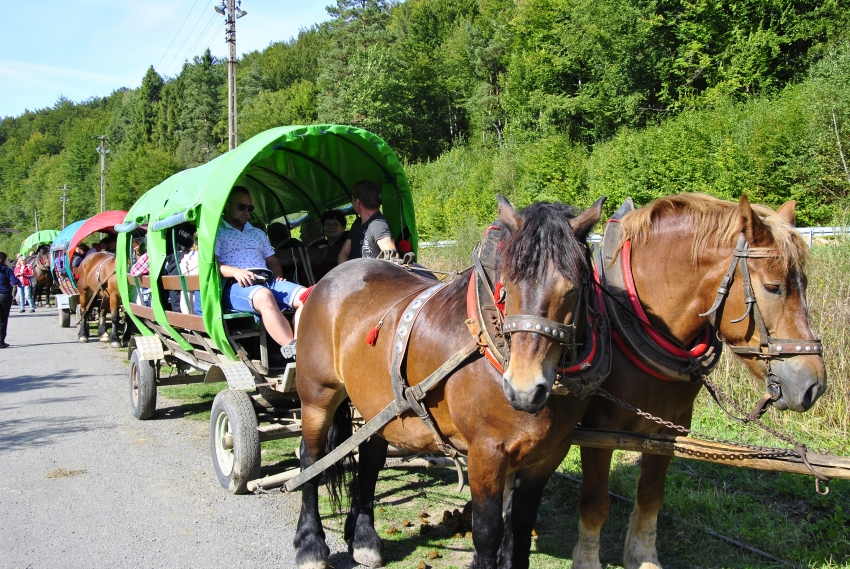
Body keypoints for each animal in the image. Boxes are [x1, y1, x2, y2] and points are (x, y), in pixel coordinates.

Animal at [294, 196, 608, 568]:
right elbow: (487, 533)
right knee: (311, 460)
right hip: (317, 396)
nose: (524, 390)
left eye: (573, 288)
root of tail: (331, 277)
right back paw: (310, 543)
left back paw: (363, 537)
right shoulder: (486, 453)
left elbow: (519, 527)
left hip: (377, 405)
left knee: (370, 457)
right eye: (506, 288)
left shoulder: (547, 455)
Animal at [568, 193, 820, 564]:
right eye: (774, 287)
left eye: (803, 284)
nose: (814, 385)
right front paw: (586, 559)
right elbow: (595, 504)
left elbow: (651, 495)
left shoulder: (670, 428)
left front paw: (643, 556)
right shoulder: (599, 430)